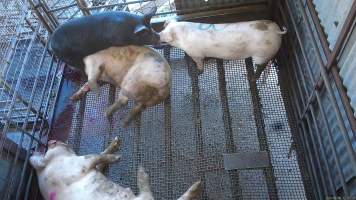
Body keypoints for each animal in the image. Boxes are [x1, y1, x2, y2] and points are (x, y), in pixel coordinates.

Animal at [29, 137, 202, 200]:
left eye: (45, 149)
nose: (51, 140)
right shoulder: (79, 164)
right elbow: (96, 155)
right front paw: (118, 158)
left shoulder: (86, 165)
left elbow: (100, 158)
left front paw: (116, 142)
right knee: (148, 191)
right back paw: (141, 171)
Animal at [160, 19, 288, 80]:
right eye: (164, 27)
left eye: (165, 35)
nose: (159, 34)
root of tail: (276, 31)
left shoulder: (195, 53)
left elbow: (199, 63)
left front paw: (197, 72)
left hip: (262, 53)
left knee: (261, 66)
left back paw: (250, 78)